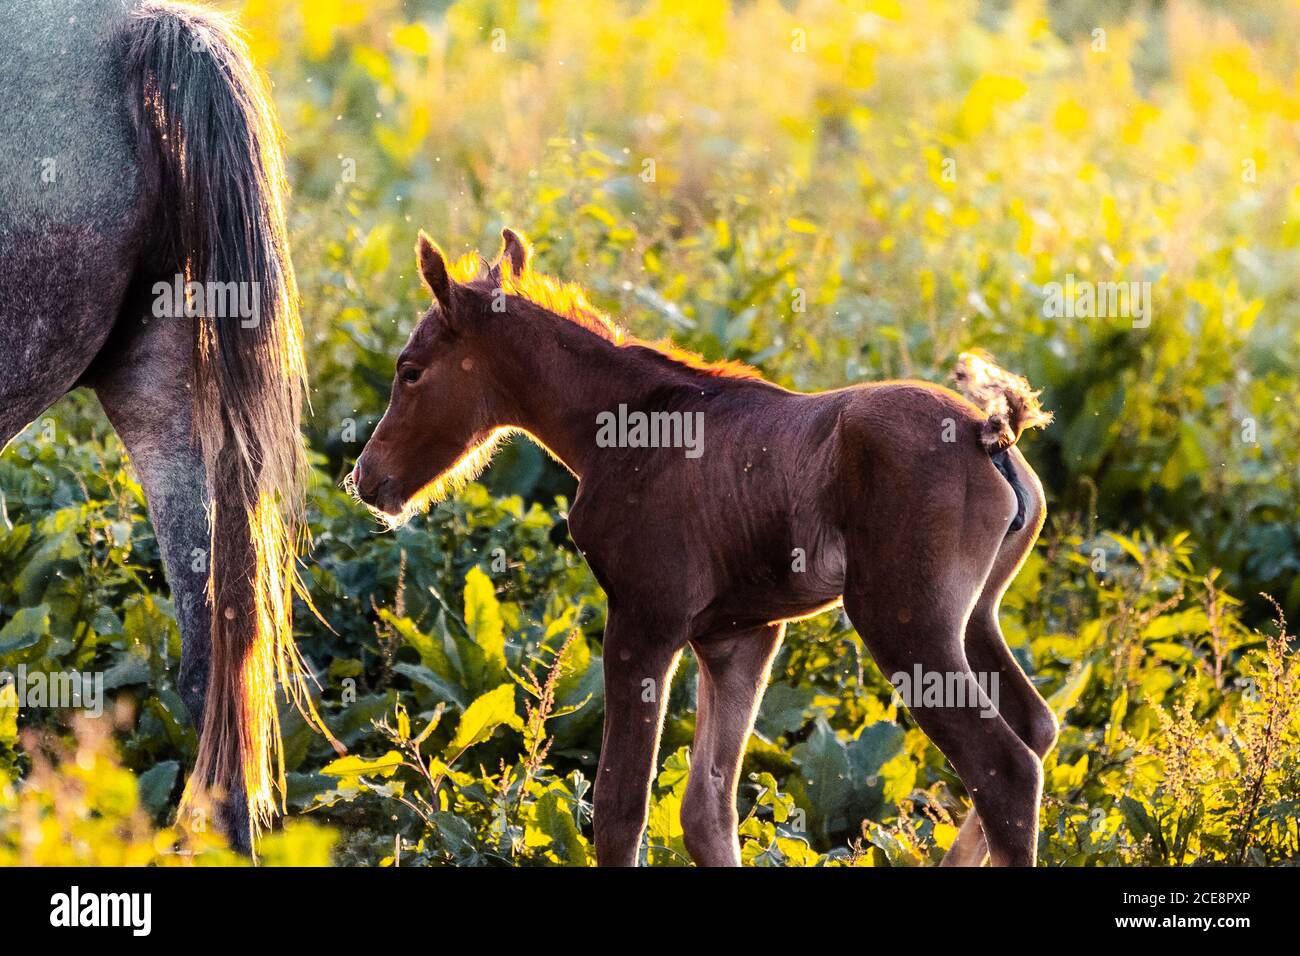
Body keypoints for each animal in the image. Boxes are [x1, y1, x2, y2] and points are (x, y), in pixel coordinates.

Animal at [351, 227, 1059, 866]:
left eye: (410, 371)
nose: (365, 478)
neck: (626, 425)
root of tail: (991, 433)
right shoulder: (738, 637)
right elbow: (706, 812)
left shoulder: (647, 619)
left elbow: (620, 810)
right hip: (974, 616)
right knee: (1036, 727)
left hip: (905, 622)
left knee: (1005, 769)